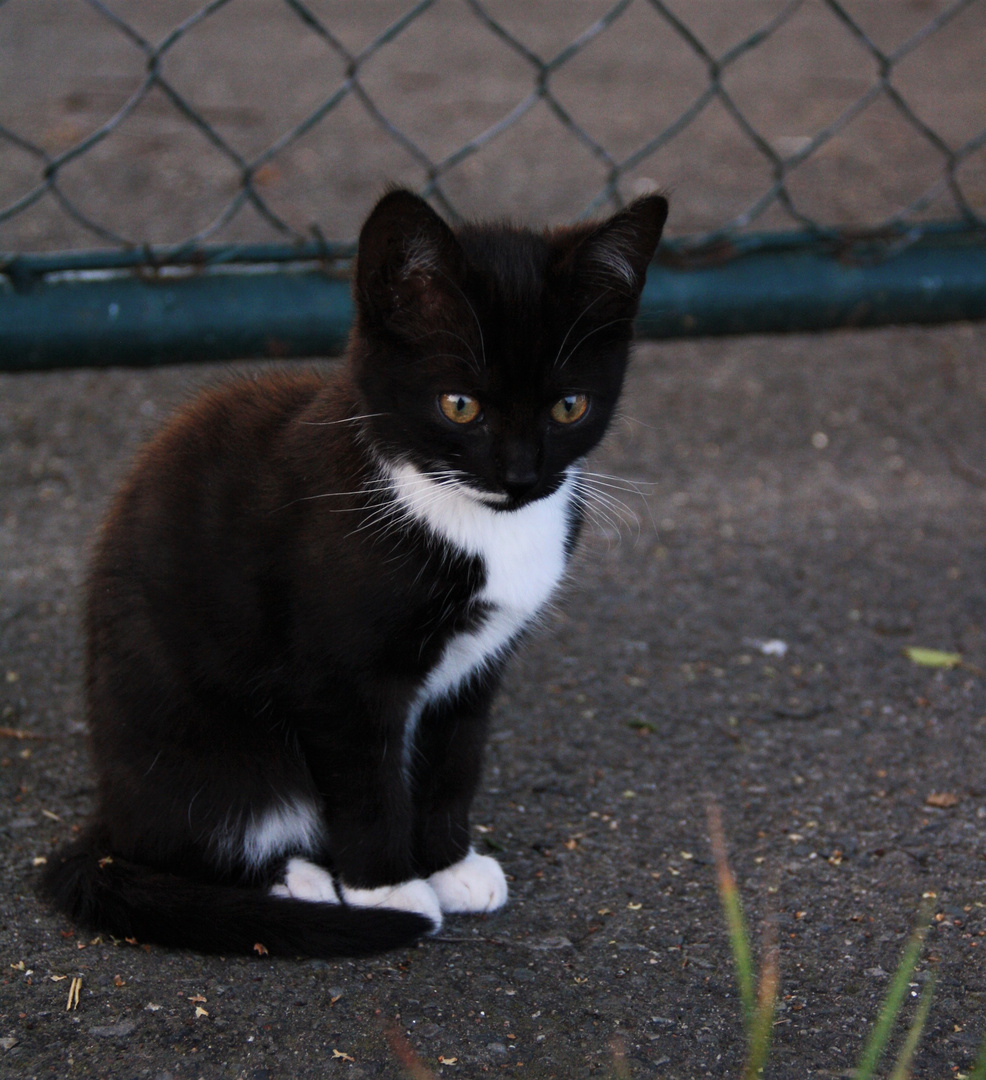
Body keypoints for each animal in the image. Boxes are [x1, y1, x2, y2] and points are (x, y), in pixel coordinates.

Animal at [40, 190, 669, 959]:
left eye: (568, 406)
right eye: (459, 405)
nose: (521, 475)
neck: (458, 512)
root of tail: (109, 816)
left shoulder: (478, 665)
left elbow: (453, 762)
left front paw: (449, 865)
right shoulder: (335, 676)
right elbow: (366, 780)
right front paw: (389, 889)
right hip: (211, 754)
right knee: (189, 842)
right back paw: (302, 881)